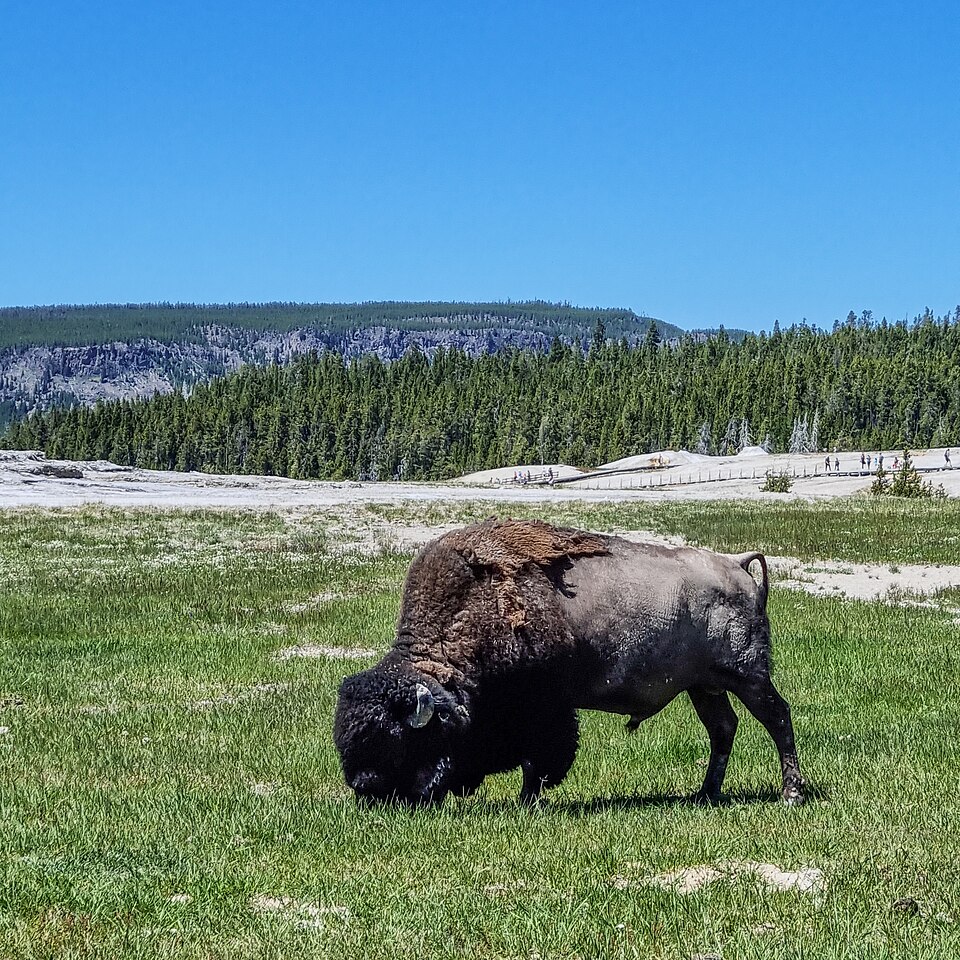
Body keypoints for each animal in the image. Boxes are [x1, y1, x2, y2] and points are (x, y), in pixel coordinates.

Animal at [334, 519, 804, 807]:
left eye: (398, 740)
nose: (365, 788)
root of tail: (736, 565)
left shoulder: (545, 710)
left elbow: (539, 759)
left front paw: (527, 801)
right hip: (704, 686)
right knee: (723, 728)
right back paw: (705, 794)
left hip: (748, 676)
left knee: (777, 717)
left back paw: (791, 794)